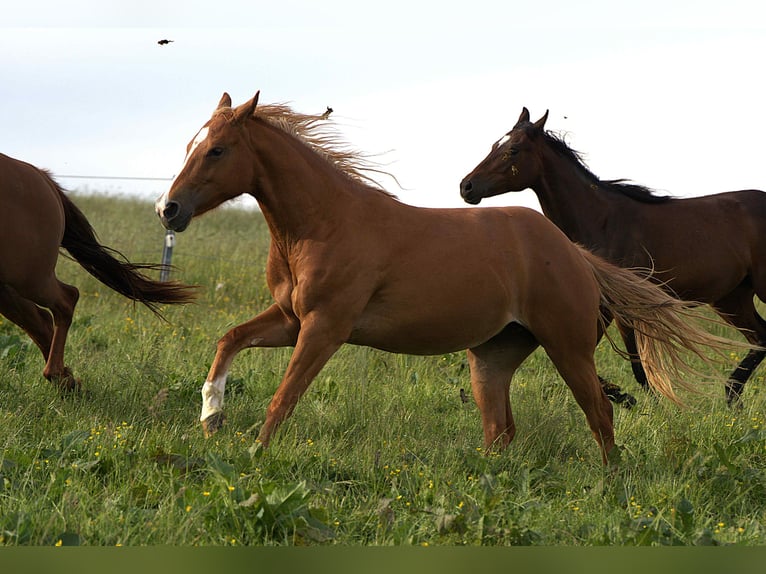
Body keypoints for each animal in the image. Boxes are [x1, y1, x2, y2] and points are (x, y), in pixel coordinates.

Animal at [0, 153, 198, 390]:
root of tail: (40, 175)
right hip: (12, 282)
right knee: (41, 319)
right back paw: (68, 381)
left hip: (30, 277)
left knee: (66, 299)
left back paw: (59, 376)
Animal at [460, 108, 766, 405]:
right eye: (494, 144)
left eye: (512, 150)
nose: (466, 186)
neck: (601, 221)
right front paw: (630, 398)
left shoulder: (617, 306)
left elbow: (630, 361)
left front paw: (639, 400)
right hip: (731, 299)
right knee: (760, 337)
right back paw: (732, 397)